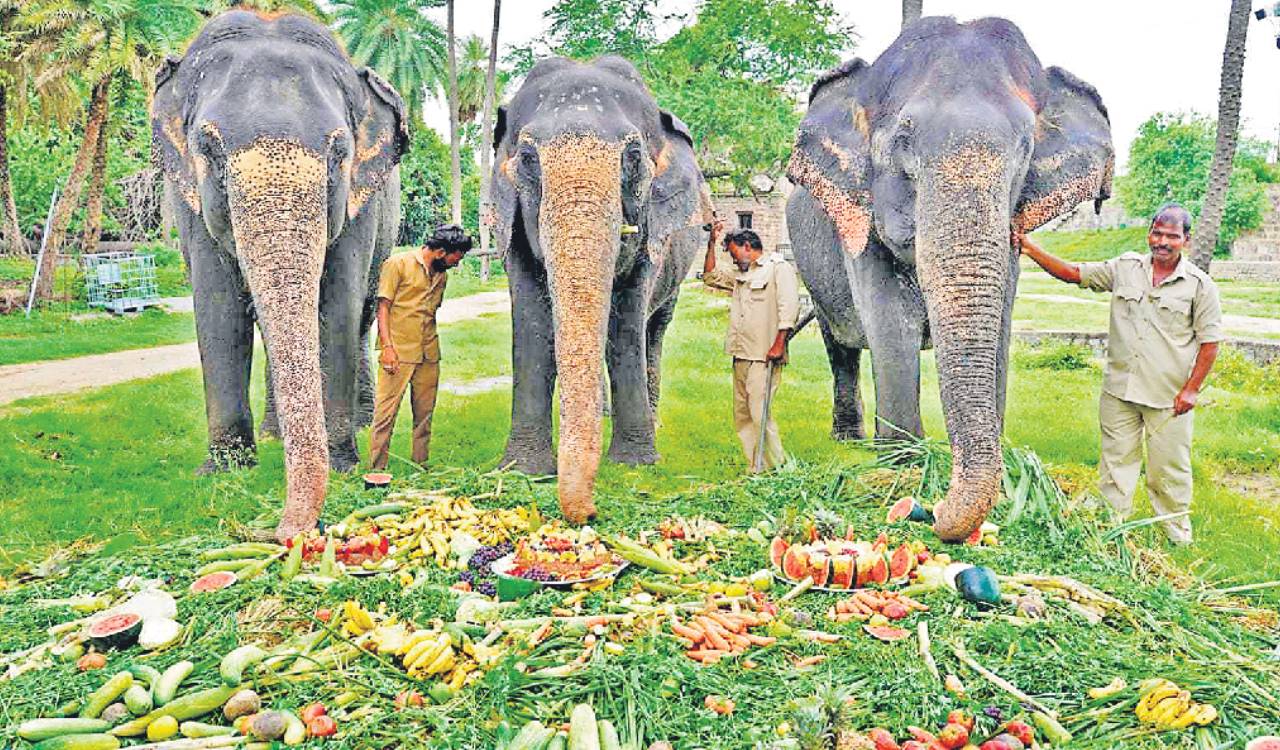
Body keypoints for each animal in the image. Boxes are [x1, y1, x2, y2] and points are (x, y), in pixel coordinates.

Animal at [151, 9, 407, 540]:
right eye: (208, 148)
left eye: (339, 154)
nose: (285, 533)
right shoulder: (188, 200)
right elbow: (218, 309)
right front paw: (224, 471)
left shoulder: (360, 204)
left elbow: (336, 308)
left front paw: (344, 464)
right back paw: (273, 436)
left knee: (362, 317)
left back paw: (356, 423)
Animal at [488, 56, 713, 523]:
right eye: (528, 159)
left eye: (633, 156)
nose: (591, 512)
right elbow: (532, 328)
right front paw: (522, 471)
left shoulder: (651, 233)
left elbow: (625, 326)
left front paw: (636, 464)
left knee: (653, 332)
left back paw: (653, 422)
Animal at [785, 16, 1113, 541]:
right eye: (903, 143)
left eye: (1026, 150)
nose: (934, 510)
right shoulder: (860, 217)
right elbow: (890, 323)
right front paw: (901, 464)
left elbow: (999, 325)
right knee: (840, 346)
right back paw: (849, 439)